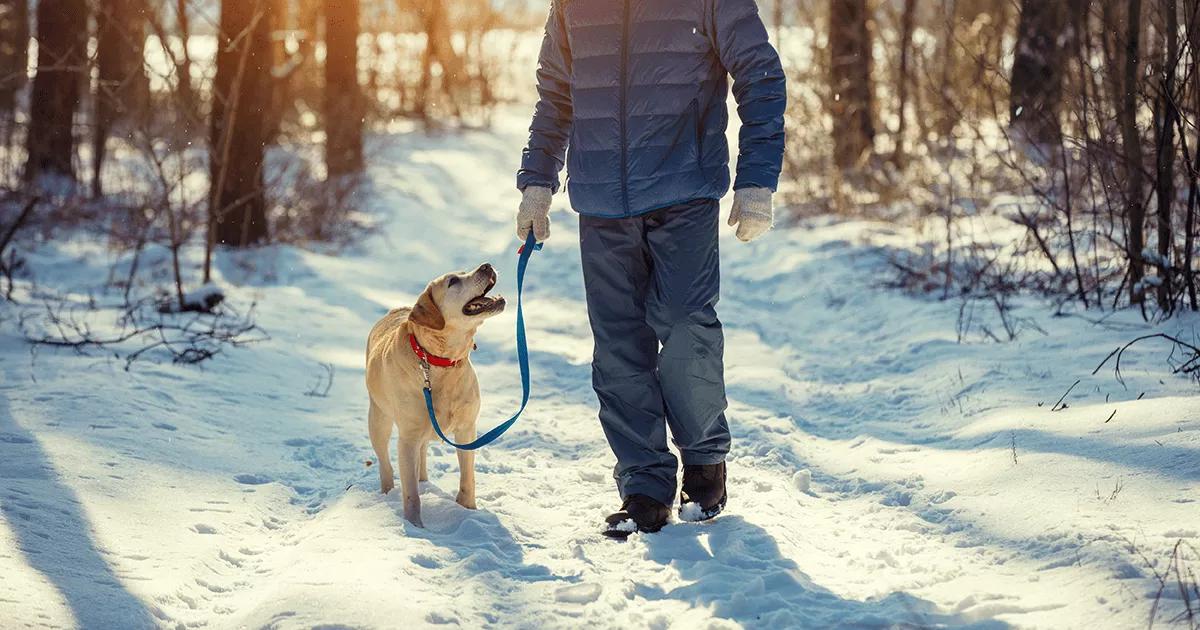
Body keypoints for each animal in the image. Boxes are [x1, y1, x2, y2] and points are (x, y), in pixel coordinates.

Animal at [360, 261, 501, 525]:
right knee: (386, 464)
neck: (440, 361)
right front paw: (415, 527)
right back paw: (387, 492)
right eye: (453, 281)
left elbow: (468, 477)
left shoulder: (467, 428)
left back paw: (423, 480)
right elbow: (411, 495)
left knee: (422, 456)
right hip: (379, 419)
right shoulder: (407, 438)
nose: (486, 265)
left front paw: (469, 511)